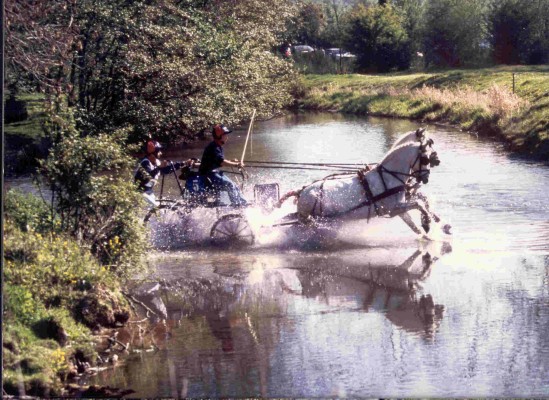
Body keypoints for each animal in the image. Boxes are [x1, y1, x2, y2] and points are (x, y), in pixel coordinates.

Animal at [278, 133, 440, 236]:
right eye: (425, 158)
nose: (426, 178)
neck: (388, 176)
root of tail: (301, 191)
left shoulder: (398, 209)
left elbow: (415, 223)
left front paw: (430, 229)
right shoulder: (393, 208)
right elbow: (419, 203)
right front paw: (427, 222)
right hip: (309, 220)